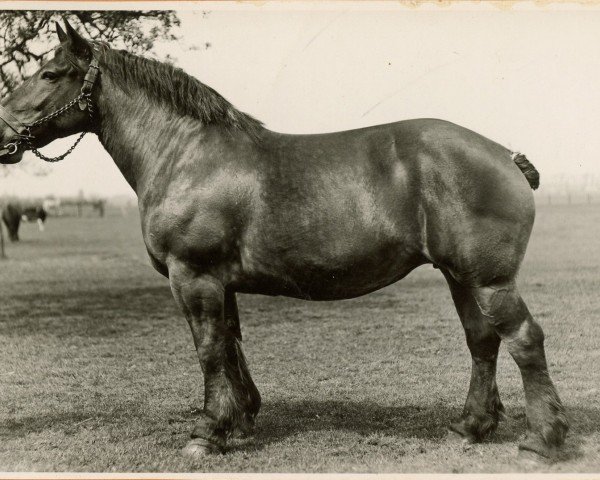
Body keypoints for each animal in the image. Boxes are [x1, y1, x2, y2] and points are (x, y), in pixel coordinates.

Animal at [0, 21, 568, 462]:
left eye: (50, 74)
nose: (4, 132)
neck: (185, 153)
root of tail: (502, 153)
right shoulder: (220, 282)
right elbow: (231, 344)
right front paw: (239, 421)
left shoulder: (193, 276)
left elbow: (208, 348)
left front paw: (207, 433)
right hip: (458, 276)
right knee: (482, 341)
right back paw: (470, 426)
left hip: (489, 279)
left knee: (523, 339)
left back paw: (542, 439)